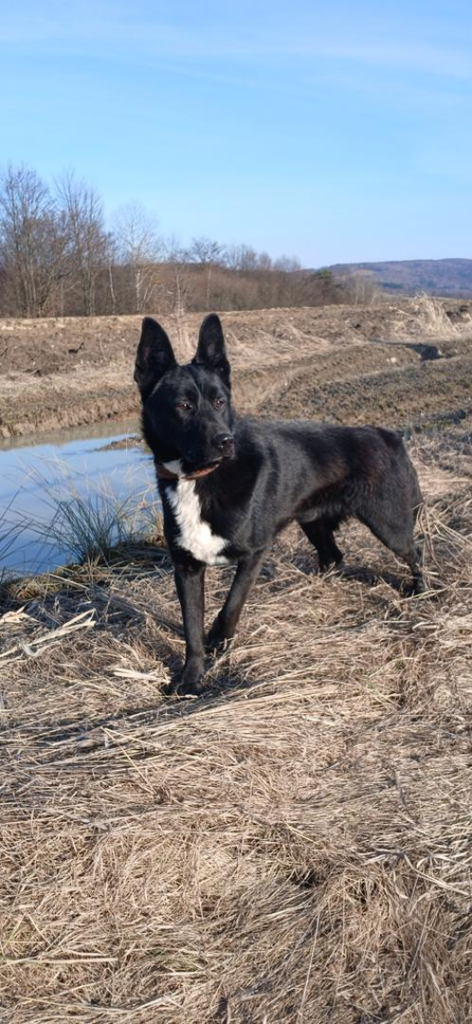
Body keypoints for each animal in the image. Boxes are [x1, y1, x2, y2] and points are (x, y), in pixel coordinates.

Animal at [135, 313, 424, 695]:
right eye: (183, 406)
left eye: (220, 402)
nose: (225, 442)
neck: (197, 478)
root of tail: (387, 434)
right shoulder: (186, 566)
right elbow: (191, 629)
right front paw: (191, 678)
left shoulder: (256, 552)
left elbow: (230, 607)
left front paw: (219, 644)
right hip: (313, 522)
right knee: (334, 556)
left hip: (389, 524)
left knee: (414, 552)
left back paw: (421, 591)